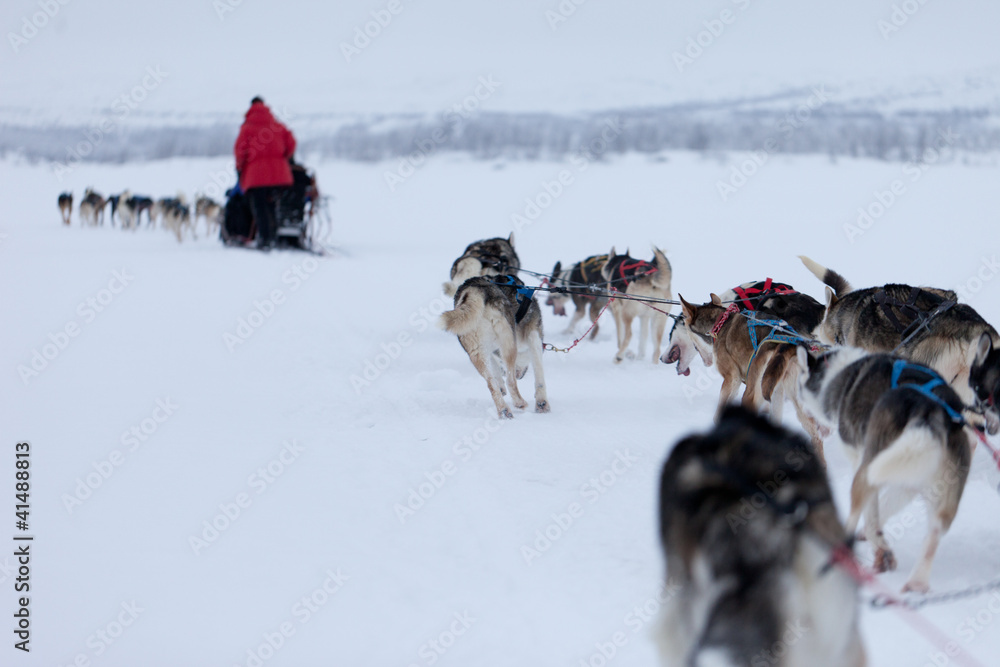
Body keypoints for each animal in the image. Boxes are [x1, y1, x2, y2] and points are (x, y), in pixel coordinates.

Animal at [438, 274, 548, 420]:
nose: (520, 375)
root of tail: (473, 289)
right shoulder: (534, 334)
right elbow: (539, 373)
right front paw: (542, 403)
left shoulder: (490, 351)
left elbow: (495, 372)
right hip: (508, 340)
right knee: (511, 381)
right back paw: (519, 402)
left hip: (476, 351)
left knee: (491, 384)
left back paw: (504, 410)